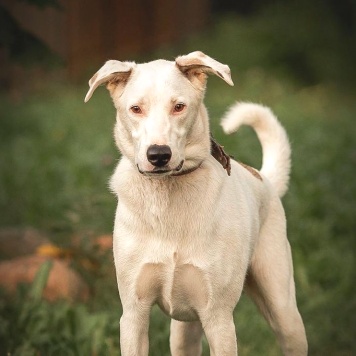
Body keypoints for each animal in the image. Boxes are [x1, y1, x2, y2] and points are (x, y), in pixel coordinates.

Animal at [85, 50, 308, 356]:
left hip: (283, 311)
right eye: (136, 109)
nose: (158, 155)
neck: (168, 196)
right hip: (184, 331)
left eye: (179, 106)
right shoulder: (133, 314)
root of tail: (265, 179)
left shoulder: (218, 318)